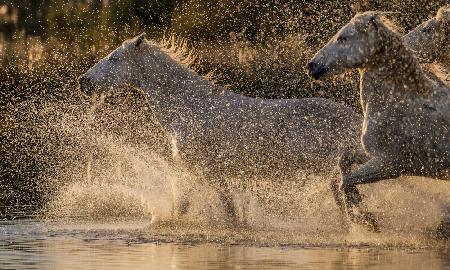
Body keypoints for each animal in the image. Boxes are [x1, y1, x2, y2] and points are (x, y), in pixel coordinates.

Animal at [79, 33, 364, 227]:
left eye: (114, 58)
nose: (84, 82)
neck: (189, 107)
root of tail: (357, 119)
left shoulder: (209, 171)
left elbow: (226, 211)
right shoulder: (197, 172)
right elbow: (191, 208)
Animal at [308, 11, 448, 231]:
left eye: (343, 38)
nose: (311, 66)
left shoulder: (389, 165)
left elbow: (346, 181)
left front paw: (365, 219)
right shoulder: (373, 154)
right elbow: (343, 162)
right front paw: (360, 209)